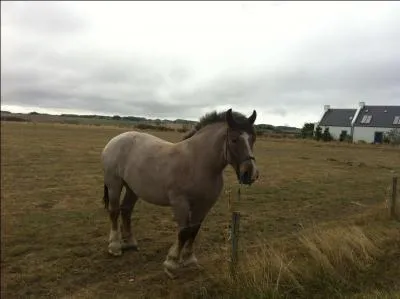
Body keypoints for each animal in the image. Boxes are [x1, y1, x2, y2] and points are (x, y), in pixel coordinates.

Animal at [101, 108, 260, 276]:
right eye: (234, 139)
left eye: (253, 139)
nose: (251, 174)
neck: (198, 162)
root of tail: (115, 140)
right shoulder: (180, 203)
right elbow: (184, 231)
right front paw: (171, 262)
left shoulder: (204, 204)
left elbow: (194, 229)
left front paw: (189, 259)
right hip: (114, 184)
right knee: (114, 211)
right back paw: (114, 246)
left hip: (133, 188)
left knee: (126, 210)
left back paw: (130, 243)